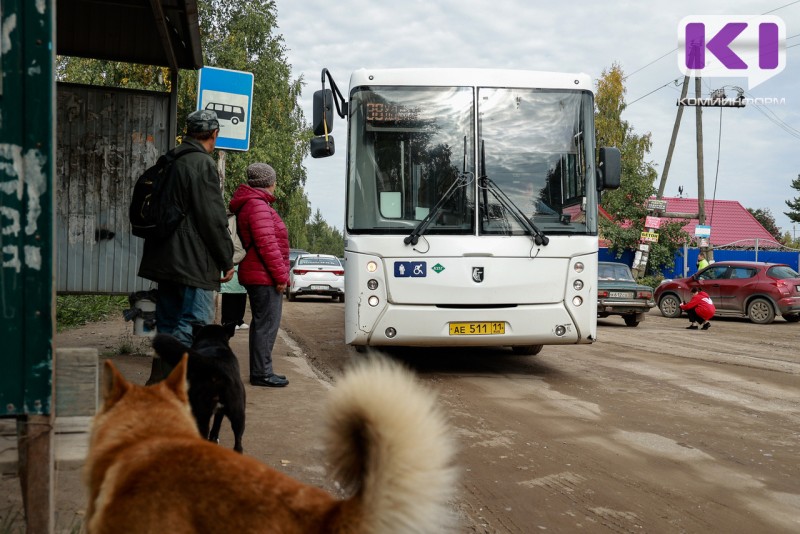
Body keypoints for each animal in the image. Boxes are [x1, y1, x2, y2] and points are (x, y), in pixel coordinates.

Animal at [152, 324, 245, 454]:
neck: (212, 341)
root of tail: (216, 364)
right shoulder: (220, 412)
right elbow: (217, 426)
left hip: (202, 413)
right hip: (238, 414)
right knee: (238, 442)